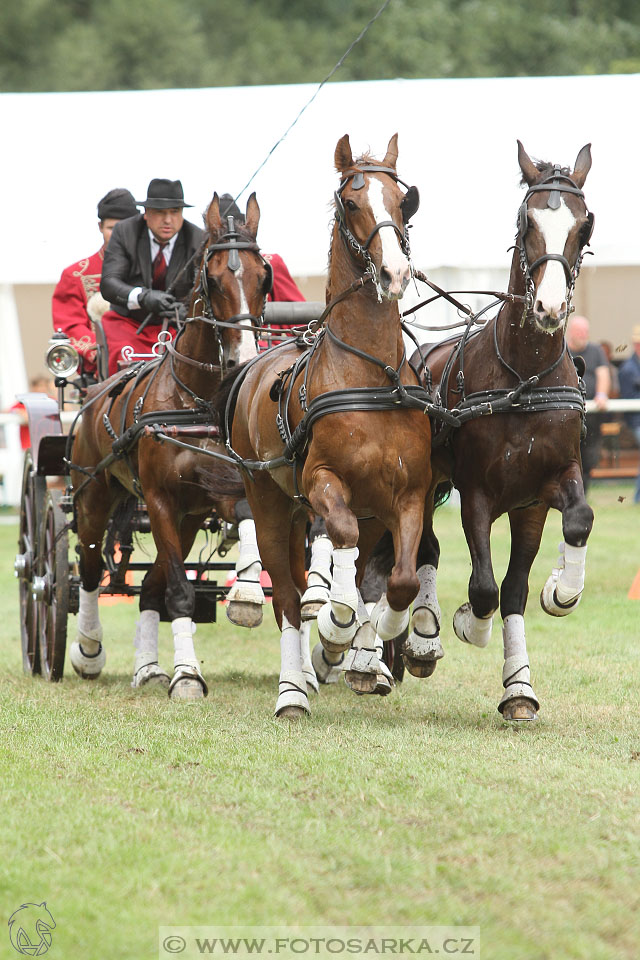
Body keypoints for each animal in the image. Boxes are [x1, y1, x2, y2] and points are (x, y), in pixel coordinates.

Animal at [69, 193, 272, 696]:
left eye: (264, 276)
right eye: (213, 278)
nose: (243, 358)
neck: (199, 399)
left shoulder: (220, 492)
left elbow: (245, 519)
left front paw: (246, 591)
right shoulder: (160, 499)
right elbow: (180, 593)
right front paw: (187, 676)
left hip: (186, 518)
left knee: (148, 587)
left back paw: (147, 668)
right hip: (93, 495)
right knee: (89, 570)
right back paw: (88, 650)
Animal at [214, 137, 430, 720]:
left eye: (403, 202)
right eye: (352, 203)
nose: (395, 272)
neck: (371, 379)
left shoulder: (408, 495)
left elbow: (399, 580)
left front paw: (374, 645)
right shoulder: (322, 483)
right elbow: (341, 546)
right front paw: (335, 626)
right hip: (268, 499)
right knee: (287, 597)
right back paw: (293, 688)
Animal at [408, 141, 596, 720]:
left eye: (585, 224)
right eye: (525, 219)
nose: (550, 308)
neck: (523, 377)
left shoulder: (540, 492)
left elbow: (571, 528)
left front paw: (560, 592)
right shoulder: (477, 493)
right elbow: (485, 587)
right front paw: (469, 622)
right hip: (426, 480)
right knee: (424, 549)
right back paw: (419, 636)